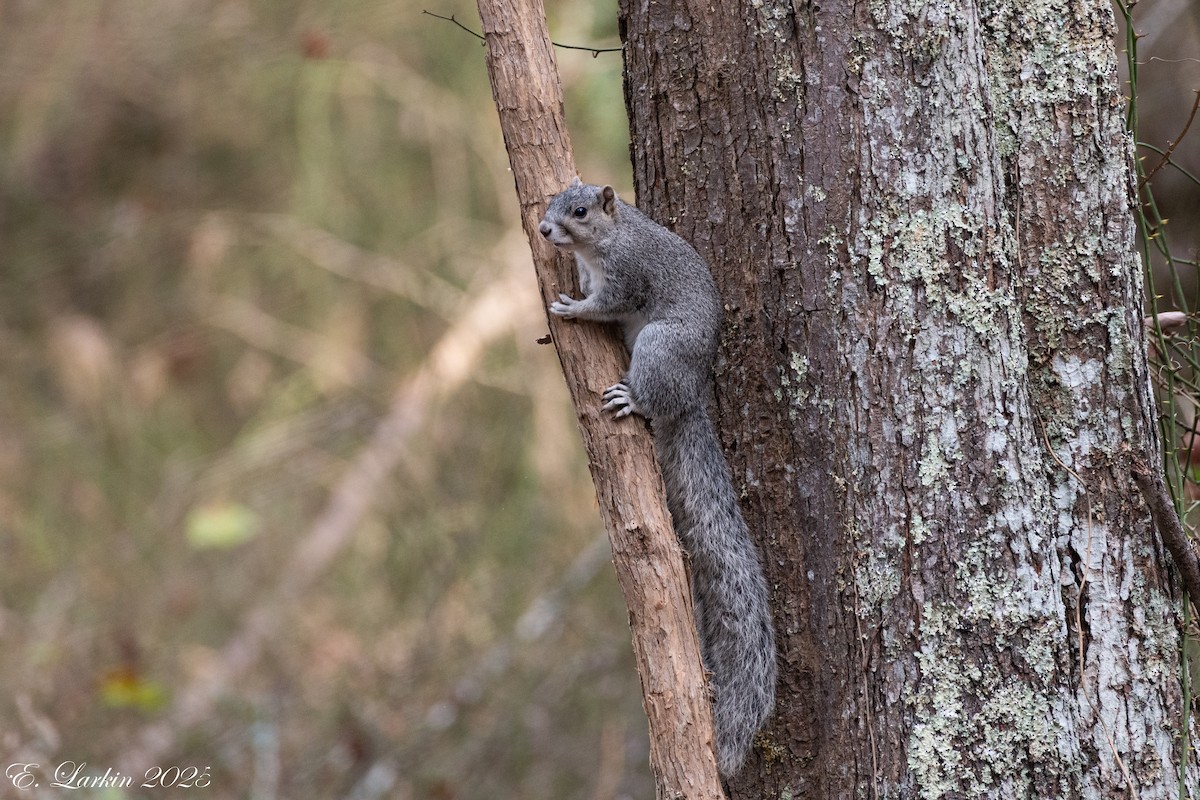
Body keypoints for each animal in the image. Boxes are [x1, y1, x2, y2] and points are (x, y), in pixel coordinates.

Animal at [538, 178, 777, 778]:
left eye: (580, 211)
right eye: (552, 202)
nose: (545, 230)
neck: (607, 239)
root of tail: (690, 394)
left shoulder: (629, 277)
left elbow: (607, 304)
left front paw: (573, 307)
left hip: (658, 348)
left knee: (651, 392)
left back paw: (634, 399)